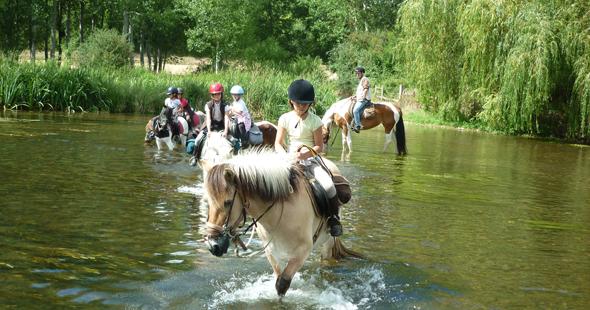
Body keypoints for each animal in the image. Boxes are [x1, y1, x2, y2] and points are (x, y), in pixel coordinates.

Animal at [202, 150, 360, 298]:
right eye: (208, 201)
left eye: (228, 202)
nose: (212, 246)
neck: (279, 211)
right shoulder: (271, 250)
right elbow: (278, 278)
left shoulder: (302, 251)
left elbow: (282, 284)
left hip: (328, 241)